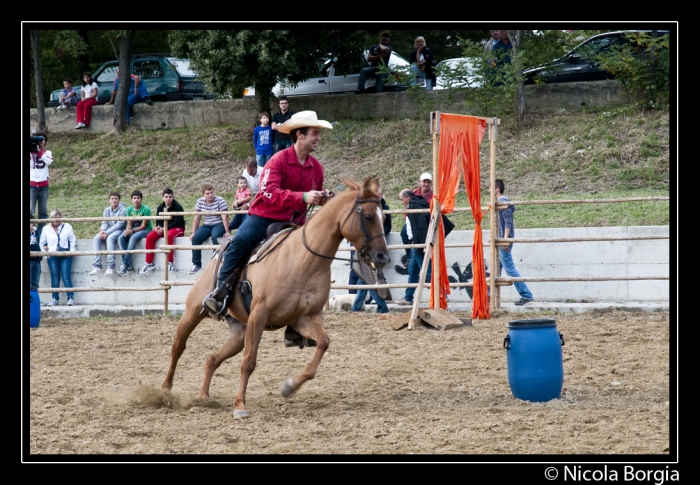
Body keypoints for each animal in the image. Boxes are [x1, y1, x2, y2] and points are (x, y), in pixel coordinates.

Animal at [162, 176, 392, 418]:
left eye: (383, 217)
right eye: (368, 216)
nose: (382, 257)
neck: (303, 260)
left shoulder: (306, 317)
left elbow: (323, 343)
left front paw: (289, 386)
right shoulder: (259, 316)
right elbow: (249, 362)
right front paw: (240, 405)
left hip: (239, 331)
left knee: (211, 358)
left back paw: (203, 396)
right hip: (194, 312)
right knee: (178, 346)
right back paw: (165, 390)